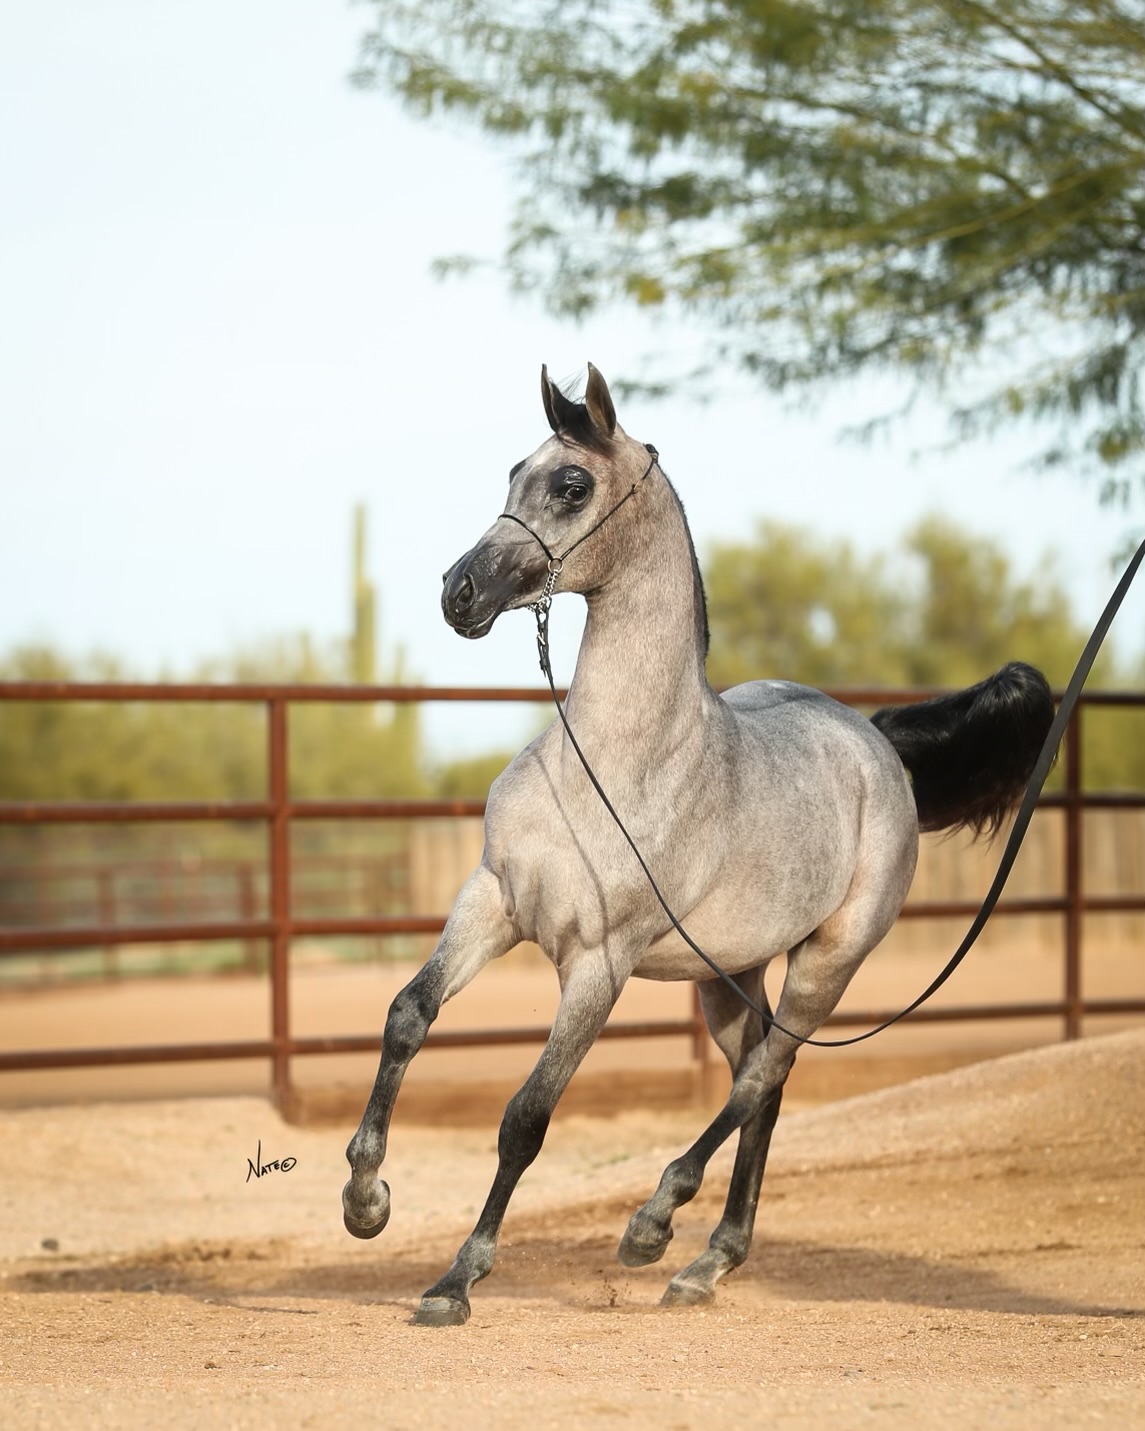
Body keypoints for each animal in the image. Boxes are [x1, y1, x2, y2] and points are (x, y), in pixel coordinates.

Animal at [342, 363, 1054, 1326]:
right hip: (733, 977)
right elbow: (408, 1016)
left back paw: (655, 1227)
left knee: (760, 1077)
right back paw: (708, 1259)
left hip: (829, 959)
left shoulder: (598, 963)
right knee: (764, 1084)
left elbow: (527, 1115)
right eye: (512, 473)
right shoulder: (492, 901)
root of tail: (871, 743)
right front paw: (365, 1201)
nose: (459, 592)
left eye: (571, 485)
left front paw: (457, 1280)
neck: (610, 760)